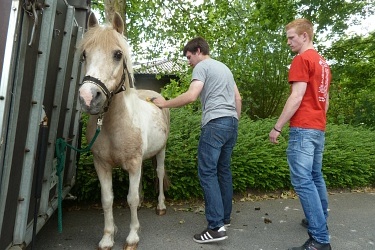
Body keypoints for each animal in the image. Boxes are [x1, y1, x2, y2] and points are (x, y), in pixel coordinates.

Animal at [79, 12, 170, 250]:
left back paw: (160, 206)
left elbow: (131, 199)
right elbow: (107, 199)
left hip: (161, 151)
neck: (113, 125)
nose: (88, 97)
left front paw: (132, 237)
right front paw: (107, 238)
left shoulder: (134, 164)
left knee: (159, 173)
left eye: (118, 54)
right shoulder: (101, 165)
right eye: (84, 54)